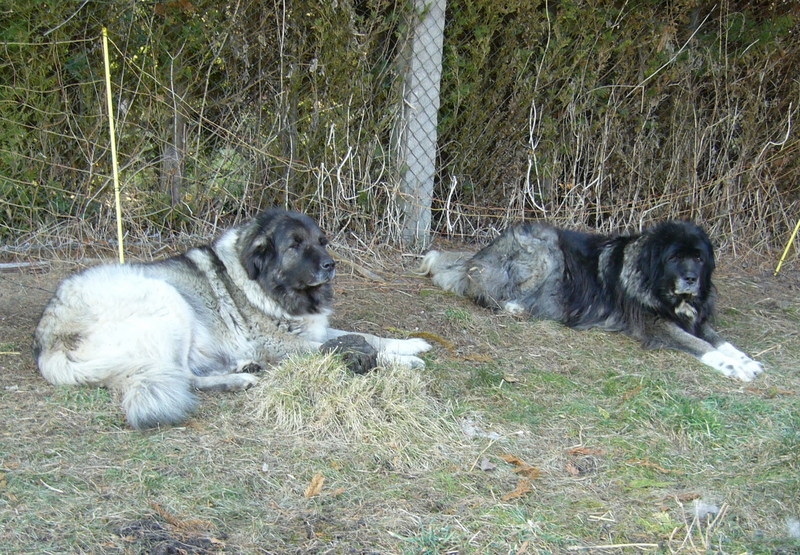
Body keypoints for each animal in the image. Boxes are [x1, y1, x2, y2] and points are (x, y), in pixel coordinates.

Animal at [33, 208, 431, 429]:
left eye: (322, 241)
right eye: (295, 245)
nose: (330, 265)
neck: (268, 285)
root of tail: (49, 339)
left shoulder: (316, 328)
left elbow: (366, 335)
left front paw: (409, 344)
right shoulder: (279, 342)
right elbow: (342, 350)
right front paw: (400, 361)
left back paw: (241, 368)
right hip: (168, 300)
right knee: (184, 376)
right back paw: (237, 380)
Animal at [419, 221, 763, 381]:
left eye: (698, 257)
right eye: (675, 258)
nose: (691, 278)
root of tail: (477, 256)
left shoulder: (694, 318)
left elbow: (720, 340)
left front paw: (747, 361)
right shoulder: (656, 325)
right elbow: (702, 346)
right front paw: (733, 367)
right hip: (543, 251)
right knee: (483, 293)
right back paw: (515, 307)